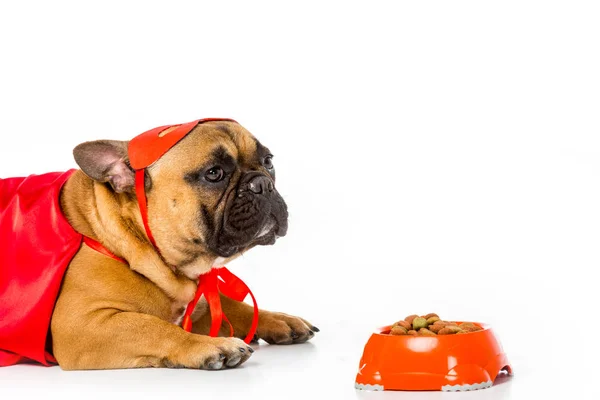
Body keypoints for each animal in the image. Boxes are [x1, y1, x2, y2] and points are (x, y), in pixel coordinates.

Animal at [0, 119, 318, 372]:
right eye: (214, 173)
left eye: (269, 162)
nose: (263, 184)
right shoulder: (80, 325)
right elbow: (152, 327)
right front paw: (209, 345)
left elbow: (235, 306)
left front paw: (279, 319)